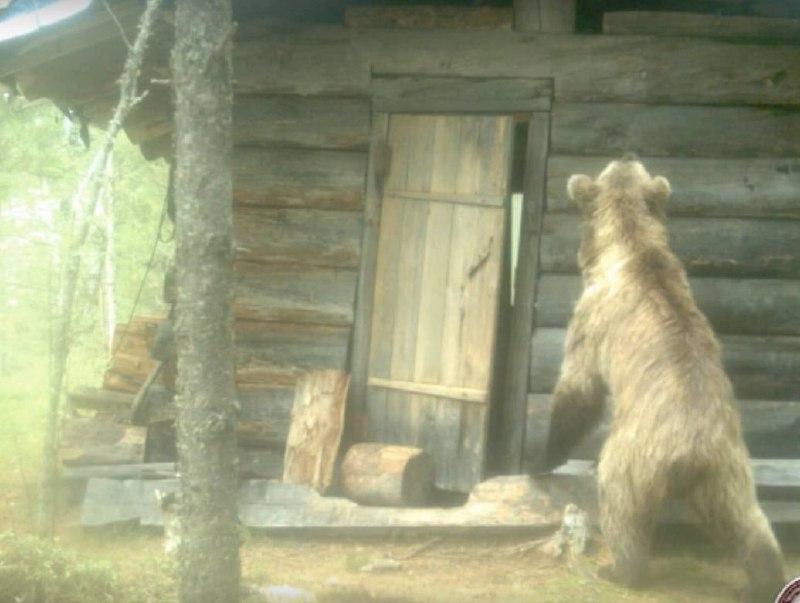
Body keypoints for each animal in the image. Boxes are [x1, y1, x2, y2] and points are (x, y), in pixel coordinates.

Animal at [537, 155, 786, 602]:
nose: (626, 153)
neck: (628, 246)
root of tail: (692, 451)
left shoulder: (592, 318)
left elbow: (578, 388)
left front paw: (541, 458)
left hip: (632, 456)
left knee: (622, 508)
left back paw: (619, 569)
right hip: (728, 472)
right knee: (749, 524)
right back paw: (765, 578)